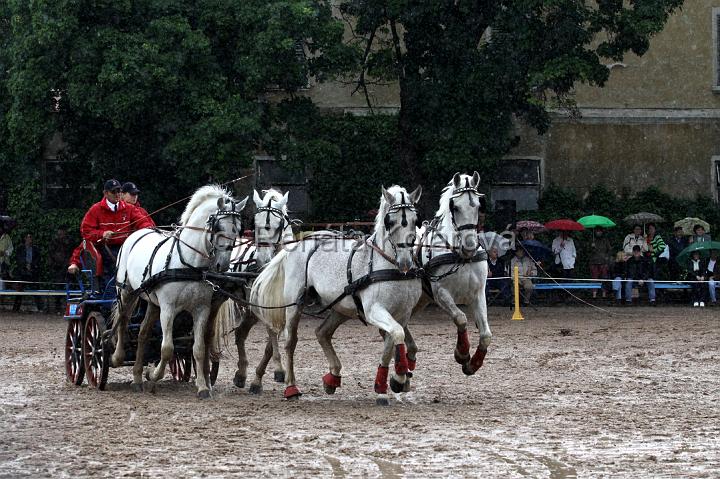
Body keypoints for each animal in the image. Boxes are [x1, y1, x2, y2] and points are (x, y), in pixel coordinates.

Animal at [111, 186, 248, 400]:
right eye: (217, 226)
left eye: (238, 228)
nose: (223, 265)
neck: (188, 263)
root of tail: (136, 233)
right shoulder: (168, 309)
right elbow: (167, 349)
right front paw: (153, 376)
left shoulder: (201, 309)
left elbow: (198, 349)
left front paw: (202, 387)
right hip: (127, 292)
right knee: (123, 320)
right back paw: (118, 357)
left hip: (152, 302)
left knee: (143, 333)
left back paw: (137, 378)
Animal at [214, 189, 292, 392]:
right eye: (255, 224)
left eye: (278, 225)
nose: (262, 259)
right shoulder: (264, 308)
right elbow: (272, 334)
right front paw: (277, 370)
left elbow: (271, 344)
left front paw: (258, 377)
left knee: (240, 334)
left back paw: (241, 374)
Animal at [252, 184, 424, 404]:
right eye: (390, 221)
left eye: (415, 220)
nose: (405, 262)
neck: (388, 265)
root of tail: (299, 243)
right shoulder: (374, 311)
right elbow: (397, 335)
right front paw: (398, 378)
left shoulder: (402, 314)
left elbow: (391, 343)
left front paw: (385, 385)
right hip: (295, 303)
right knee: (291, 342)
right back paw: (291, 387)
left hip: (341, 306)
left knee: (322, 332)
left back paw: (332, 377)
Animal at [414, 172, 492, 378]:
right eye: (455, 206)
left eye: (479, 206)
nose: (470, 246)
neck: (460, 255)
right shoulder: (441, 294)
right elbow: (461, 318)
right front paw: (462, 353)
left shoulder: (478, 293)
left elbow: (486, 335)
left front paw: (474, 363)